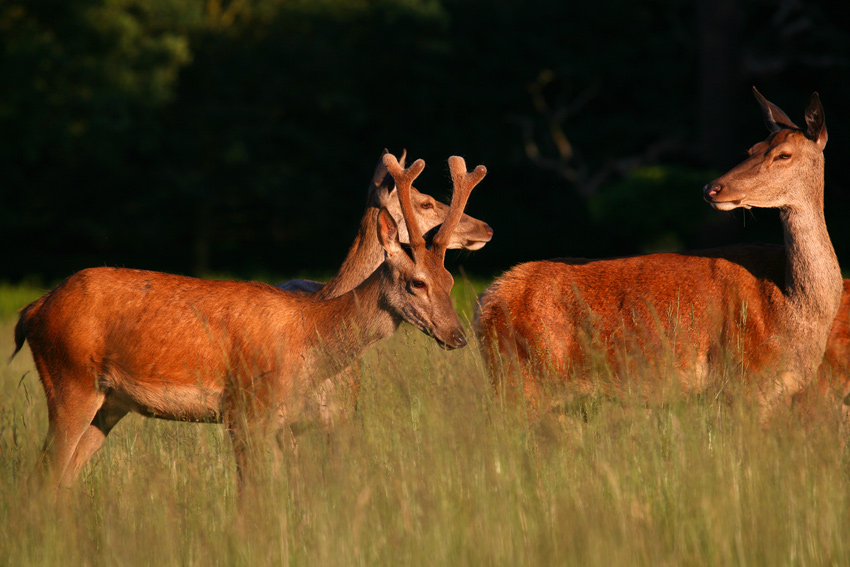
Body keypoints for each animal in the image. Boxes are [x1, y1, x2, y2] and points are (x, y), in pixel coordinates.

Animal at [474, 86, 840, 420]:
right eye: (752, 149)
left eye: (783, 154)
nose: (712, 188)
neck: (795, 309)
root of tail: (485, 302)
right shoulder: (744, 375)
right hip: (522, 375)